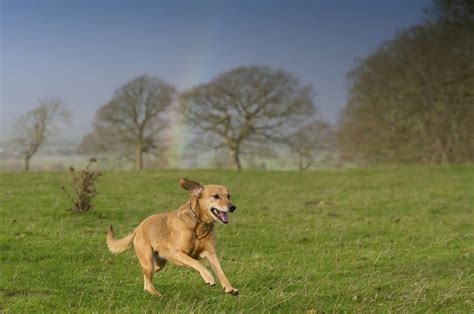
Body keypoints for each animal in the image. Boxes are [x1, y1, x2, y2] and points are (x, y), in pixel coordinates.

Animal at [106, 178, 237, 296]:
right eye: (215, 196)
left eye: (228, 196)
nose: (233, 207)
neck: (198, 224)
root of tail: (137, 228)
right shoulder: (177, 254)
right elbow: (197, 263)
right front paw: (208, 277)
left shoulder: (210, 253)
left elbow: (220, 271)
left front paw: (229, 288)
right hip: (148, 261)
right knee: (148, 282)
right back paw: (158, 295)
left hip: (158, 264)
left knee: (146, 278)